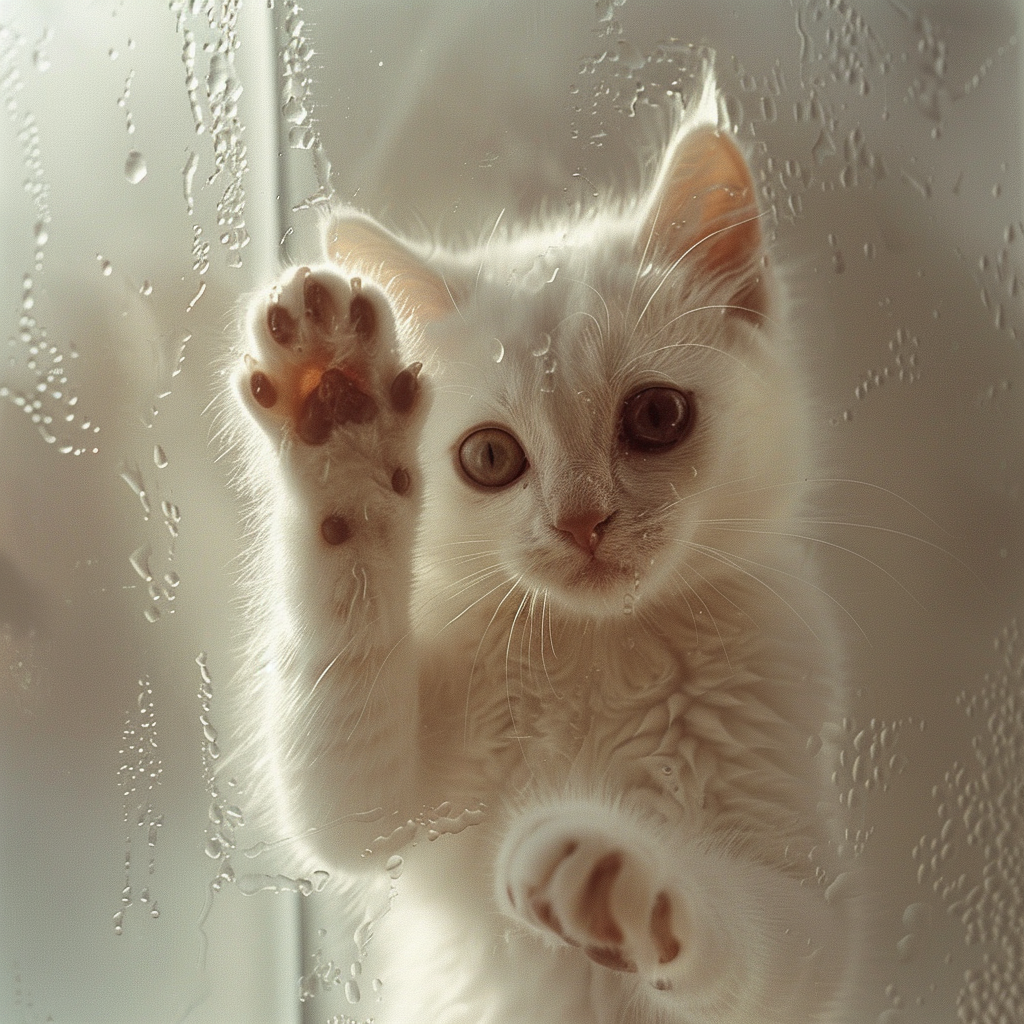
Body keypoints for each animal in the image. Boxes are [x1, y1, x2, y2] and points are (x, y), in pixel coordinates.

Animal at [226, 79, 856, 1024]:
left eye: (657, 416)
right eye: (490, 457)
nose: (581, 521)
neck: (602, 652)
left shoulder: (807, 894)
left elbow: (759, 937)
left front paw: (623, 875)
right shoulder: (390, 801)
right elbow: (341, 762)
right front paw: (337, 417)